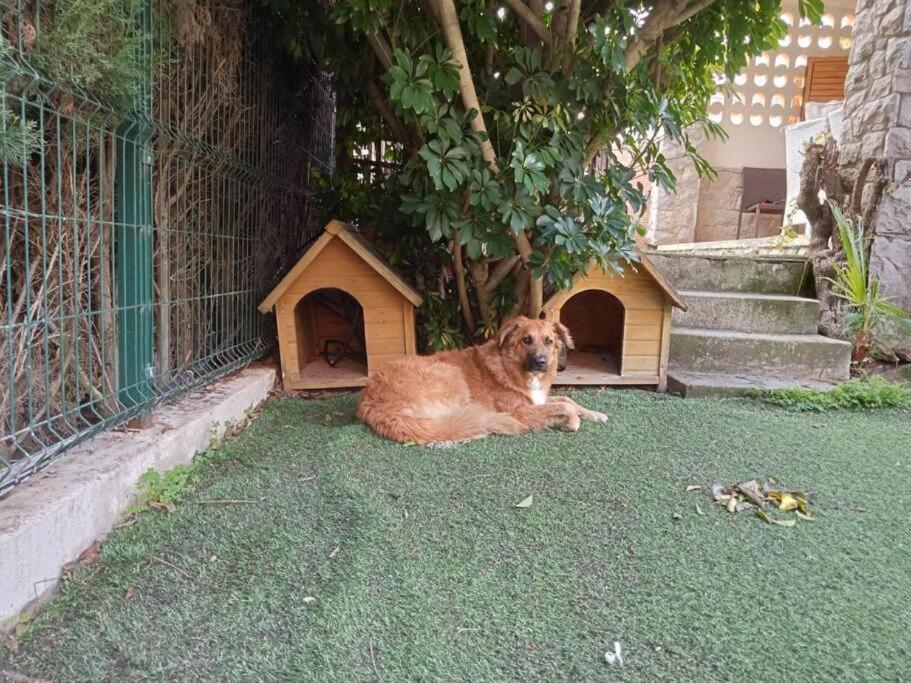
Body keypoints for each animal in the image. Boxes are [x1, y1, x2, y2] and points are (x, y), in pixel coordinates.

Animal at [354, 318, 604, 446]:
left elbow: (567, 399)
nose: (541, 362)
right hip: (452, 376)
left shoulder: (536, 400)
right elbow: (564, 406)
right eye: (526, 340)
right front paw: (571, 422)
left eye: (549, 341)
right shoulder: (519, 411)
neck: (509, 366)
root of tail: (373, 402)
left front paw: (595, 414)